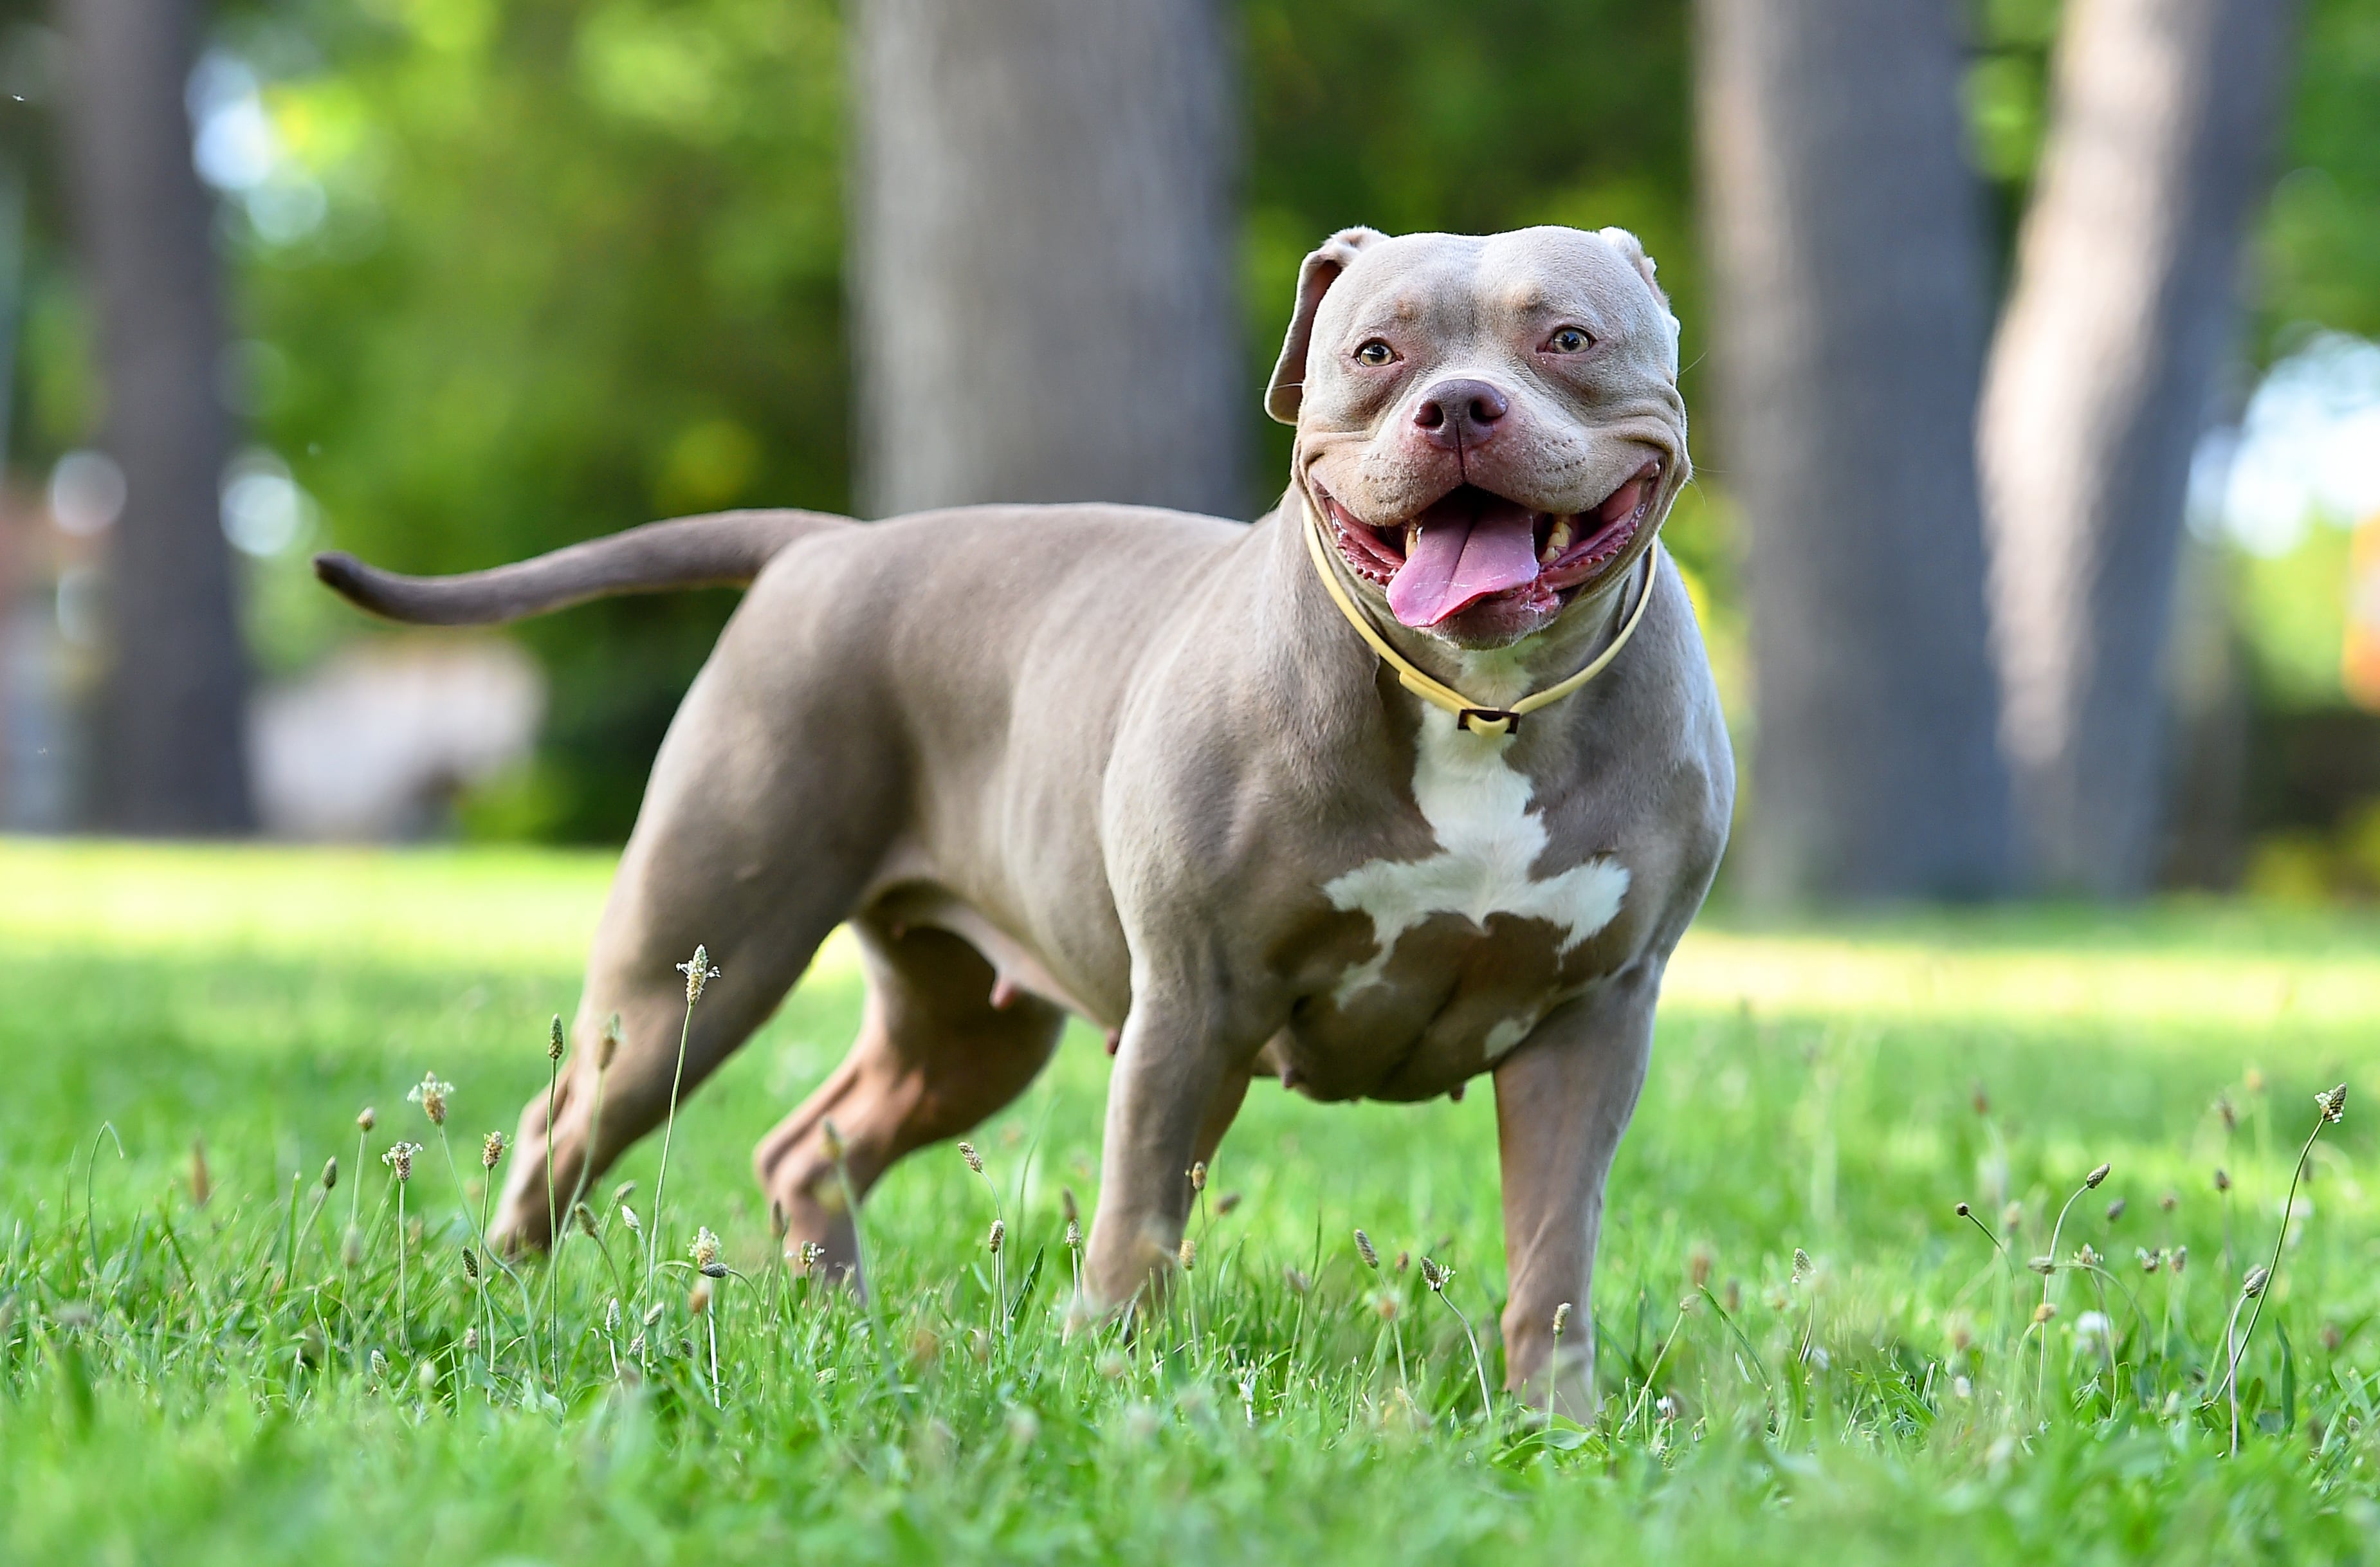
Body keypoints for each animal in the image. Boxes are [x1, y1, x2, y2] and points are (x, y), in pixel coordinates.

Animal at [316, 219, 1732, 1400]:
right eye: (1374, 353)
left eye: (1569, 340)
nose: (1457, 406)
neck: (1476, 705)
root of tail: (826, 544)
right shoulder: (1193, 1000)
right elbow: (1138, 1216)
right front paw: (1113, 1381)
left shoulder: (1593, 1022)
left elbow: (1553, 1253)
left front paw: (1557, 1425)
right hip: (691, 967)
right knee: (564, 1128)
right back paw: (505, 1298)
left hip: (961, 1031)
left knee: (809, 1146)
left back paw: (838, 1319)